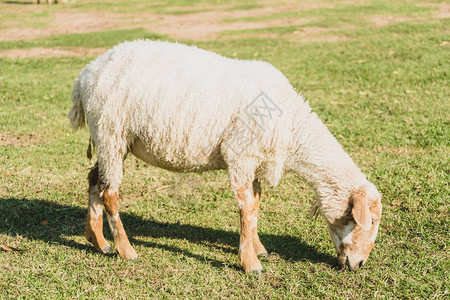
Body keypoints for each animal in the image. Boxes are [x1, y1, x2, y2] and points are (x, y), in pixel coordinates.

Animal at [68, 39, 382, 274]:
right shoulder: (240, 154)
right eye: (370, 221)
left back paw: (97, 241)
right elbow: (246, 208)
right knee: (110, 193)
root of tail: (85, 75)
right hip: (111, 131)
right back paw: (126, 250)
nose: (359, 264)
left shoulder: (255, 159)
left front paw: (258, 249)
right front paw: (251, 263)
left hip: (109, 140)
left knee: (94, 180)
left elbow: (255, 204)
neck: (293, 128)